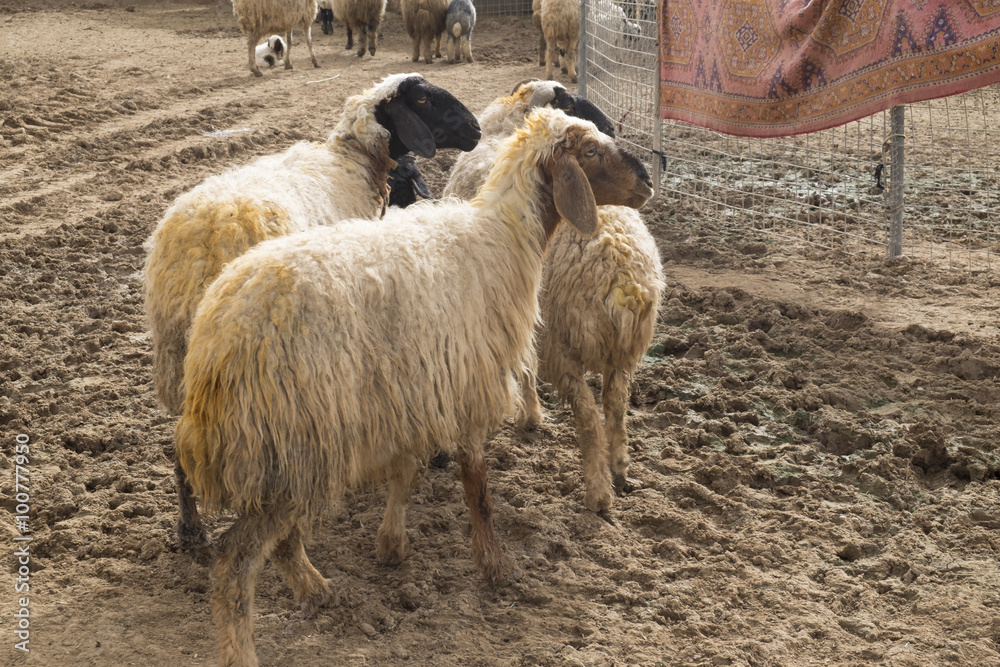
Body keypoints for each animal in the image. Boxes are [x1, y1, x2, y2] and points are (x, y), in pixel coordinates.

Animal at [144, 73, 481, 550]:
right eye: (421, 99)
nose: (475, 130)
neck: (351, 163)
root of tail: (203, 244)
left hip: (183, 363)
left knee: (181, 445)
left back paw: (191, 530)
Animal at [444, 82, 664, 514]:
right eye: (592, 149)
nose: (648, 181)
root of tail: (621, 280)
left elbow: (524, 370)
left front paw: (529, 415)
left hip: (561, 346)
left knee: (588, 416)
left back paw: (598, 494)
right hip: (622, 354)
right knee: (615, 407)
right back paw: (619, 470)